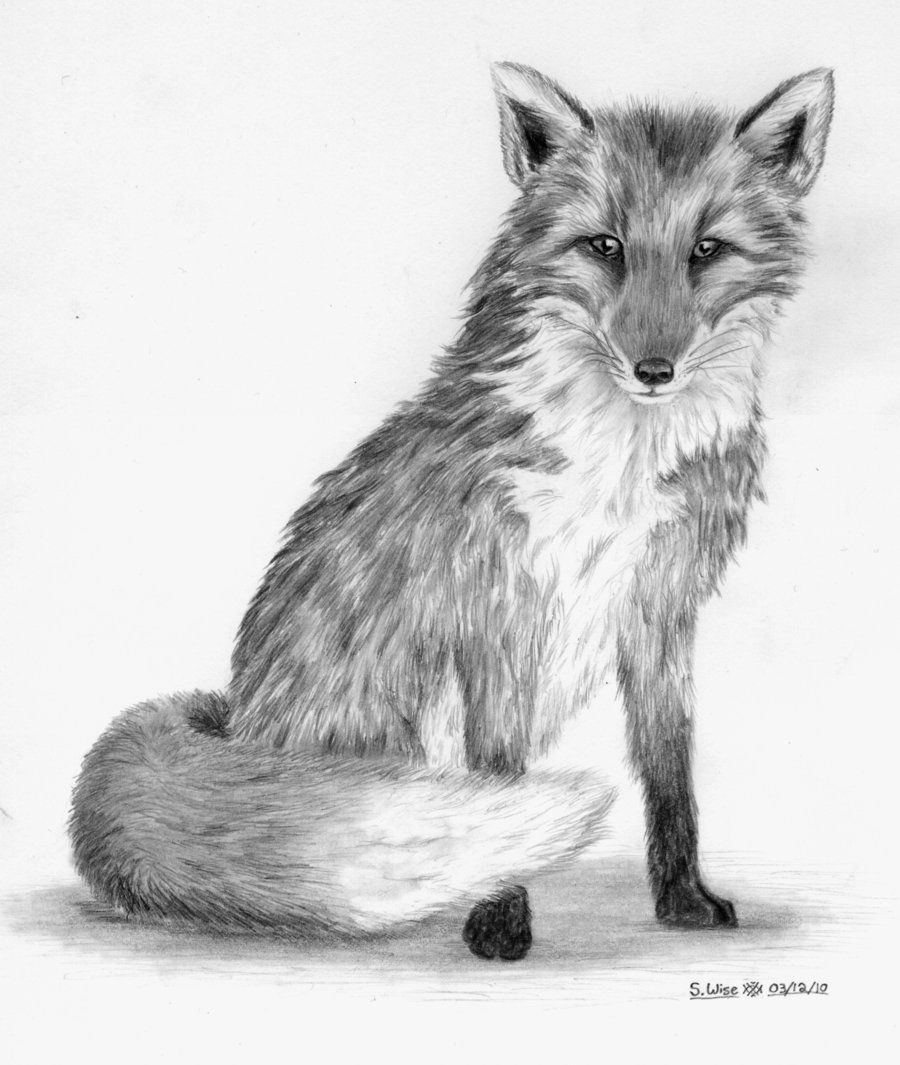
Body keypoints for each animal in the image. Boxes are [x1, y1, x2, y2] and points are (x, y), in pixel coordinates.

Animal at [70, 63, 833, 961]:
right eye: (605, 246)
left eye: (706, 249)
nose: (655, 369)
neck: (618, 466)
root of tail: (237, 722)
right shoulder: (495, 607)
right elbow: (500, 769)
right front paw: (501, 918)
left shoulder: (660, 608)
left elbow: (670, 774)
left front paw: (682, 899)